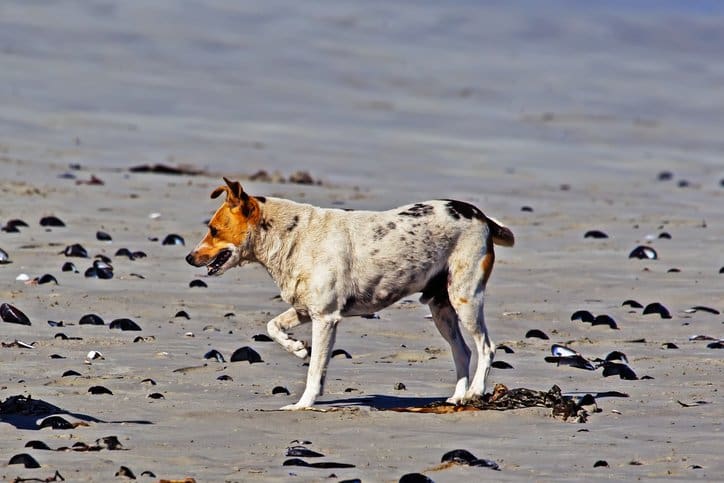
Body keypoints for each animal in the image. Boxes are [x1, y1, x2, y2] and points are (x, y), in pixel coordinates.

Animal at [187, 178, 516, 412]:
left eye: (213, 230)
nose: (189, 258)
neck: (293, 237)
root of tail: (481, 216)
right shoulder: (305, 310)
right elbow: (273, 326)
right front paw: (297, 348)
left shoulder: (325, 319)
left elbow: (315, 370)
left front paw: (303, 403)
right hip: (441, 308)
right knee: (463, 351)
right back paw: (458, 397)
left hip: (465, 298)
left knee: (486, 347)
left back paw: (475, 391)